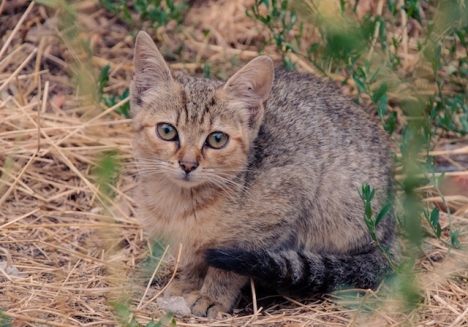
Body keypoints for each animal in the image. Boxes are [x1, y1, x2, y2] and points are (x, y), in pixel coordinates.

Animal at [130, 30, 396, 318]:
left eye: (217, 139)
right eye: (167, 131)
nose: (188, 164)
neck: (180, 202)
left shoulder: (286, 199)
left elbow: (227, 267)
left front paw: (212, 295)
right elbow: (195, 257)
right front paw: (188, 282)